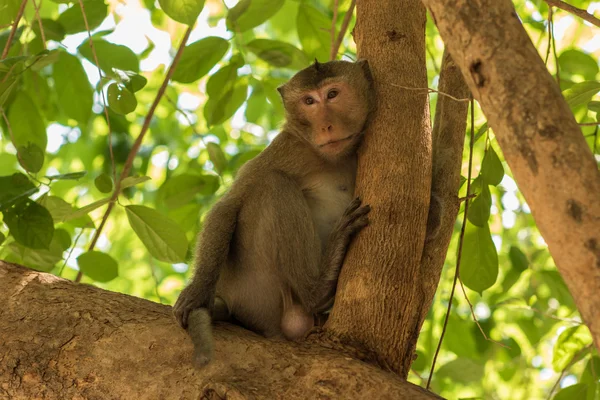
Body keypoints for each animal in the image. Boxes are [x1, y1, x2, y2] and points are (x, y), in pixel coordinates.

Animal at [171, 59, 376, 368]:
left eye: (332, 94)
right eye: (308, 101)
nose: (326, 125)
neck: (333, 158)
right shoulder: (288, 148)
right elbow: (228, 207)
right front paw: (197, 292)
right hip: (256, 289)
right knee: (273, 183)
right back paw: (317, 289)